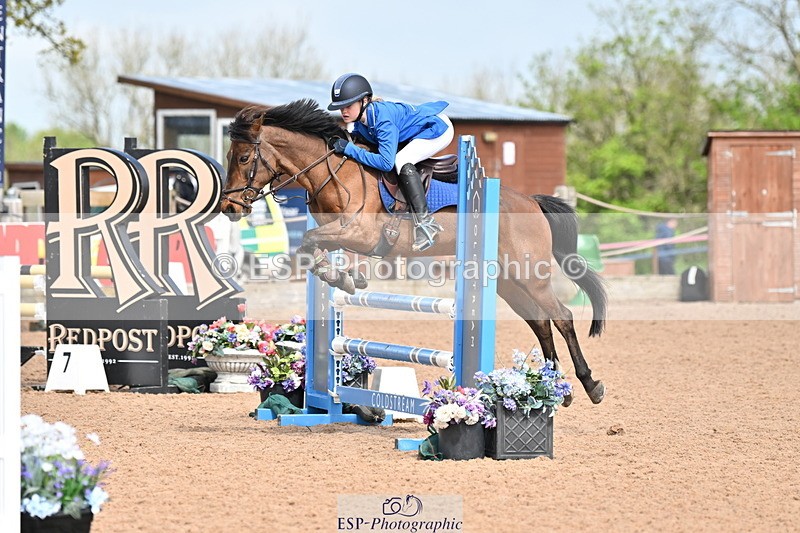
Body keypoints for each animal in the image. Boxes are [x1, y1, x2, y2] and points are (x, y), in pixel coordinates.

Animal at [219, 98, 607, 405]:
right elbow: (314, 246)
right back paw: (558, 388)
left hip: (529, 273)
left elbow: (312, 240)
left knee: (561, 317)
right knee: (540, 322)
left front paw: (341, 277)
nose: (229, 208)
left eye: (244, 157)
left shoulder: (360, 232)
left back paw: (589, 385)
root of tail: (531, 201)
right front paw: (346, 277)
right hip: (509, 280)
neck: (334, 172)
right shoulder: (342, 234)